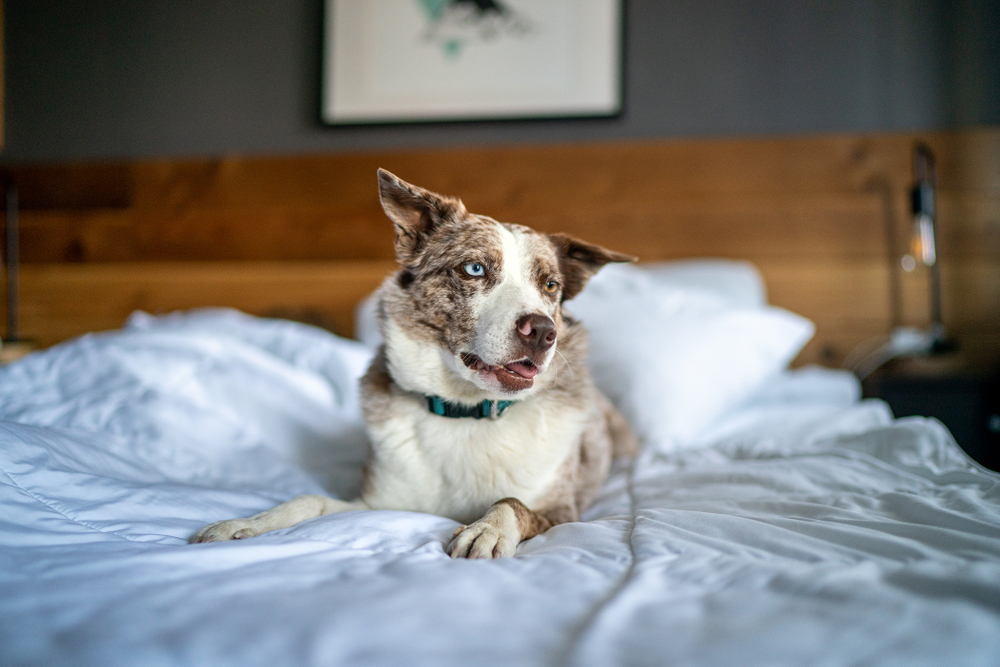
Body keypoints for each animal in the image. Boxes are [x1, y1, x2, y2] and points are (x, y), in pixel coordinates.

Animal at [191, 168, 636, 560]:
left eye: (550, 285)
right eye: (474, 268)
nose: (544, 332)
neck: (467, 412)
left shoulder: (563, 511)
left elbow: (512, 502)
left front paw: (488, 529)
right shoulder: (378, 504)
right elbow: (309, 499)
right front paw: (250, 522)